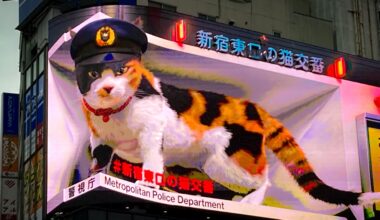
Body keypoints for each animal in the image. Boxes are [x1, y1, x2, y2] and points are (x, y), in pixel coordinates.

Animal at [73, 58, 380, 206]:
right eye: (92, 75)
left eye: (122, 71)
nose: (107, 88)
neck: (114, 113)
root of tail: (254, 107)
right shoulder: (99, 140)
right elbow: (99, 160)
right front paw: (90, 180)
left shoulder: (151, 132)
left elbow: (151, 162)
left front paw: (146, 186)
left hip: (226, 160)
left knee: (264, 179)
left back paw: (250, 200)